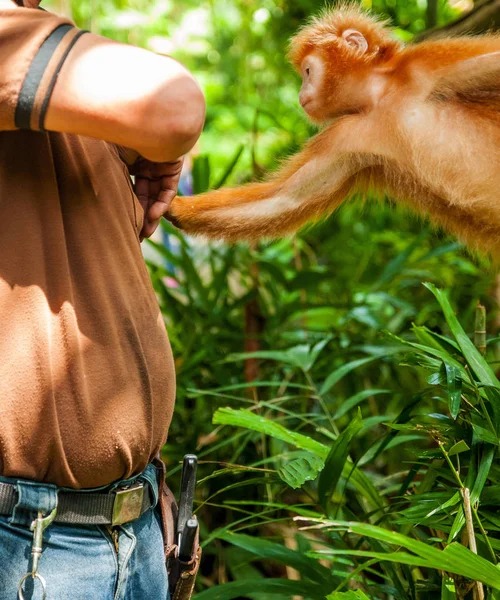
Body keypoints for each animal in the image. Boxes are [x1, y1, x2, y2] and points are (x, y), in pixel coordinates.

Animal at [168, 5, 500, 258]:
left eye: (307, 72)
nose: (301, 94)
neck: (382, 99)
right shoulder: (345, 135)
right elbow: (285, 198)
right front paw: (173, 206)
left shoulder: (428, 64)